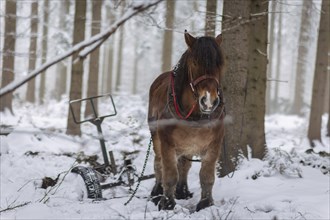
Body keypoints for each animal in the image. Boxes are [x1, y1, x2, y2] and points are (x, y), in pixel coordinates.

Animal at [148, 31, 226, 211]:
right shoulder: (167, 142)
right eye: (195, 62)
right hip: (156, 136)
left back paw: (182, 191)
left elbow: (206, 175)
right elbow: (169, 173)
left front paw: (205, 203)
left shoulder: (215, 144)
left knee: (184, 164)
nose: (209, 101)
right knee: (158, 162)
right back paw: (157, 191)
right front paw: (167, 203)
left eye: (219, 64)